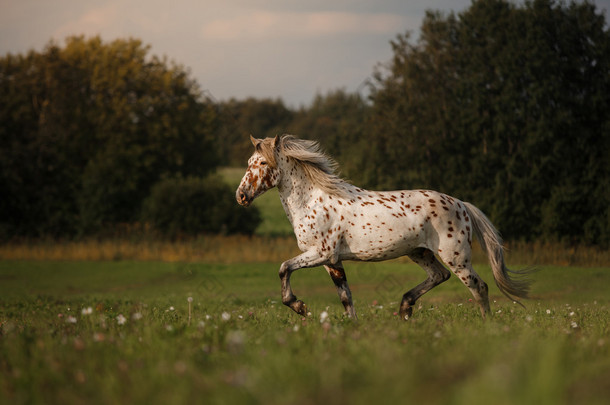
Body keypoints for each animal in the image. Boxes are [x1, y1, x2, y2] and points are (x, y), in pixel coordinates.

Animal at [235, 134, 528, 320]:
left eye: (262, 163)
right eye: (248, 163)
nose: (241, 196)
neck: (312, 201)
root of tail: (461, 204)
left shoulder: (321, 253)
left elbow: (284, 268)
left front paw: (299, 307)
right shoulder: (333, 261)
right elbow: (346, 298)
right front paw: (351, 326)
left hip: (456, 257)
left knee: (479, 287)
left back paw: (486, 324)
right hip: (419, 252)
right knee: (439, 276)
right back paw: (405, 308)